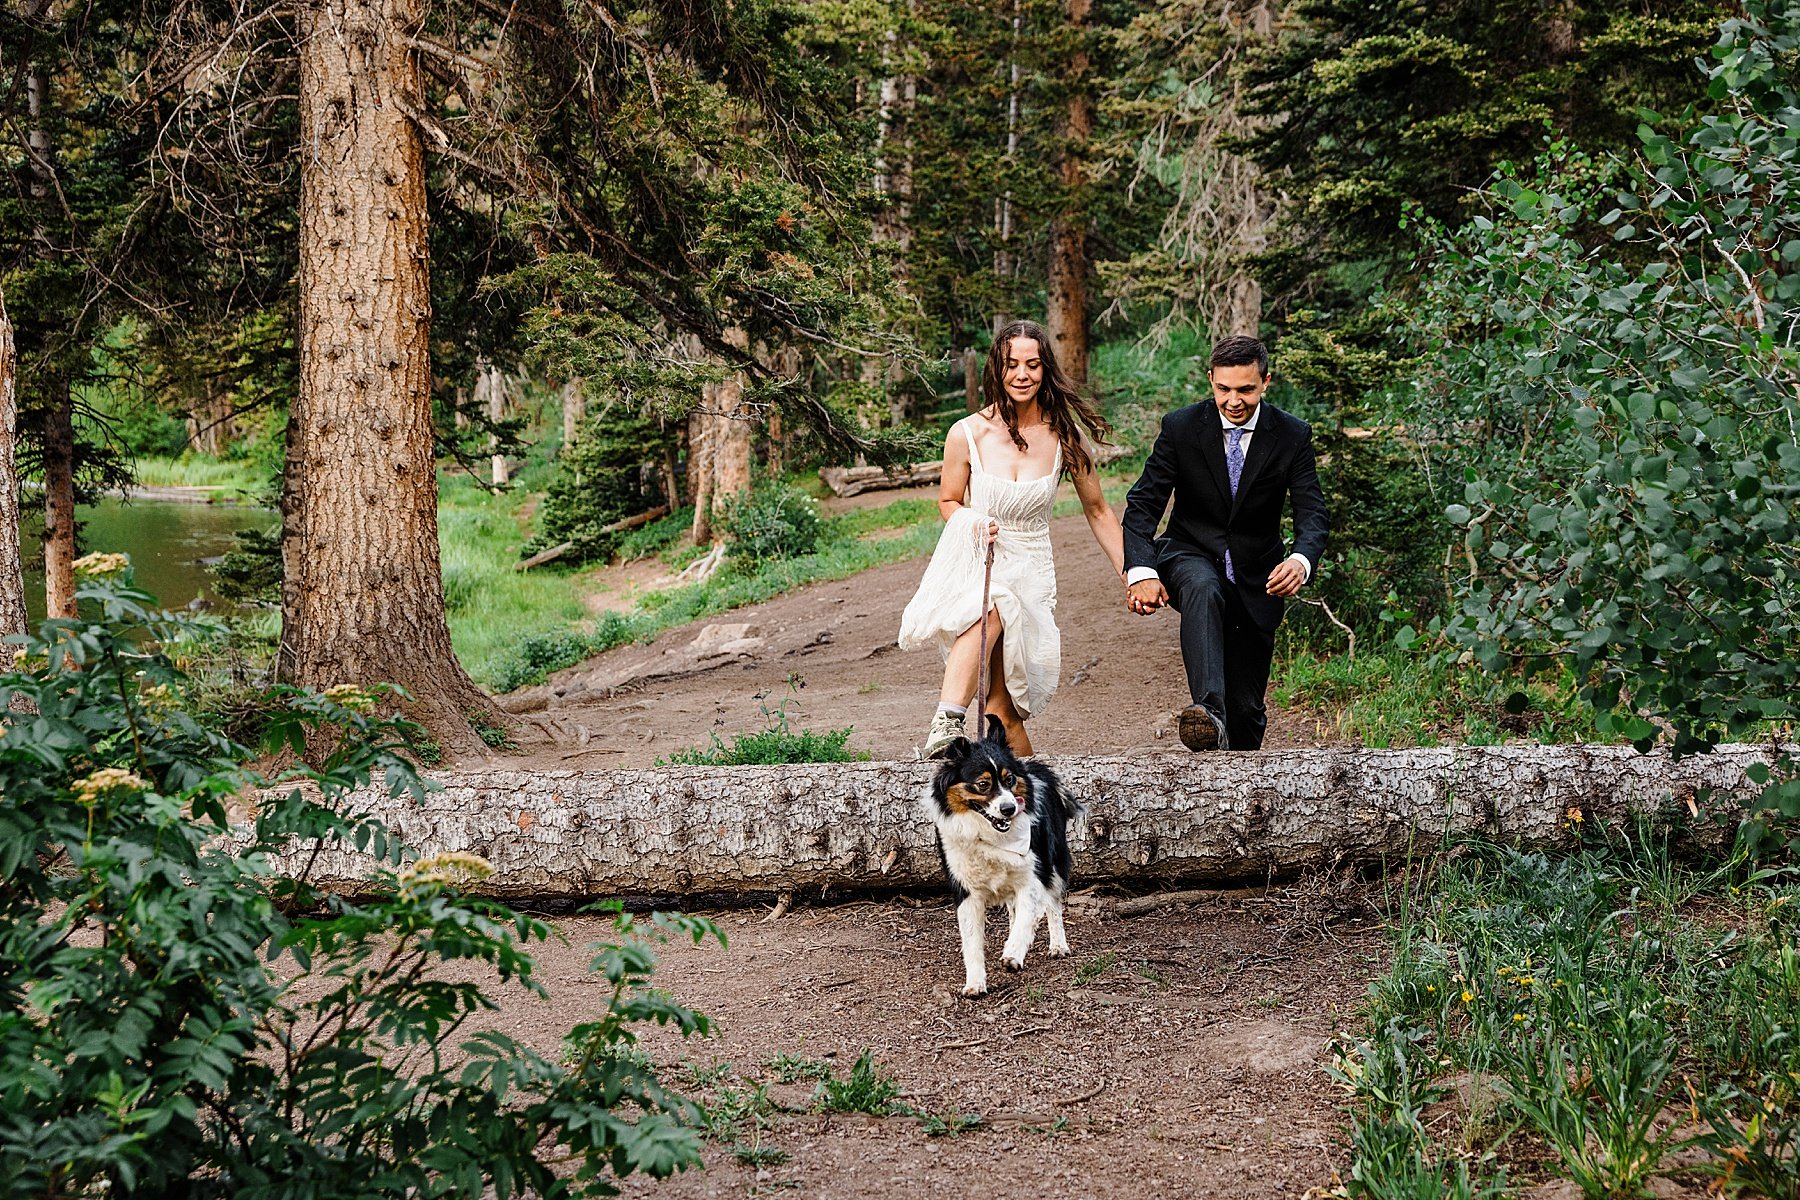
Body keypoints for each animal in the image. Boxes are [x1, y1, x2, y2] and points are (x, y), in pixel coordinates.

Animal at [921, 712, 1072, 993]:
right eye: (983, 784)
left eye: (1009, 779)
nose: (1009, 809)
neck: (991, 838)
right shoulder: (967, 892)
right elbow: (972, 942)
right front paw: (975, 982)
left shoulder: (1032, 877)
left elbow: (1027, 918)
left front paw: (1013, 953)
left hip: (1055, 860)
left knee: (1053, 904)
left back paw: (1058, 945)